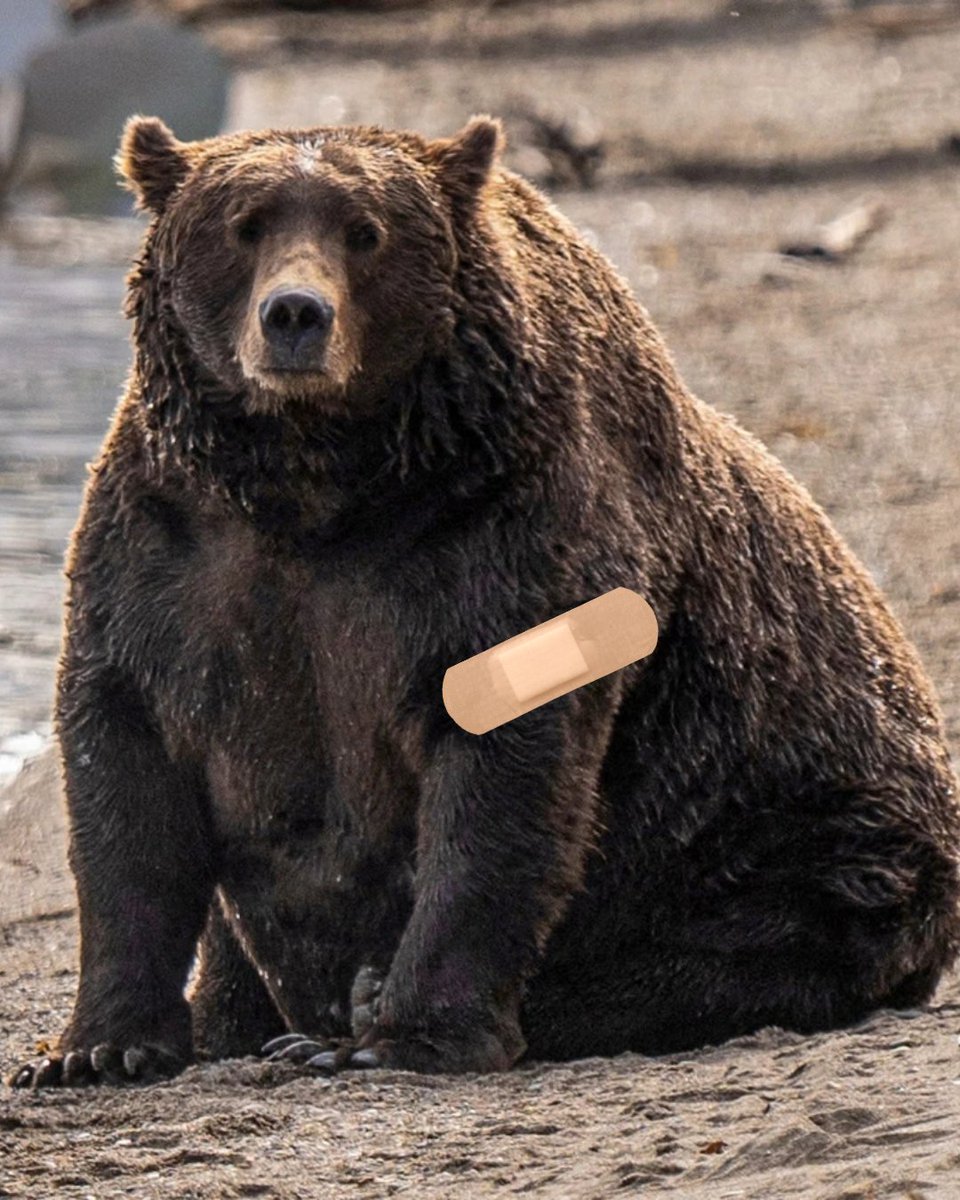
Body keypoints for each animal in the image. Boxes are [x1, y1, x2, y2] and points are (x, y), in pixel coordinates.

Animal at [10, 114, 960, 1087]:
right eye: (245, 224)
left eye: (365, 231)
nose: (296, 315)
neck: (318, 484)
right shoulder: (171, 550)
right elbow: (126, 777)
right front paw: (96, 1047)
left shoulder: (498, 535)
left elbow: (500, 782)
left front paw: (406, 1033)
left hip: (798, 825)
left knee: (736, 939)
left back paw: (359, 1014)